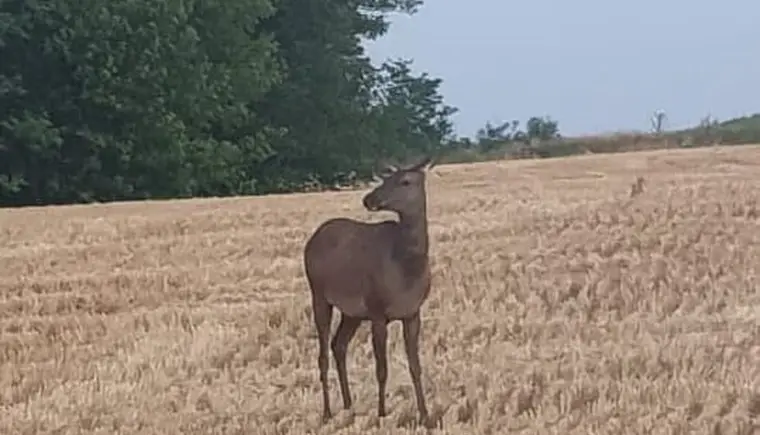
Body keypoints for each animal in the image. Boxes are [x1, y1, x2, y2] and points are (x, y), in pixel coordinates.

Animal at [302, 156, 436, 430]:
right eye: (385, 178)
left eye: (405, 181)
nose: (368, 199)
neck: (407, 270)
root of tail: (312, 240)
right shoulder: (377, 310)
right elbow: (381, 368)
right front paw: (382, 413)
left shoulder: (412, 312)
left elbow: (415, 366)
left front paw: (425, 416)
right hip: (318, 293)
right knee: (322, 353)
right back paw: (327, 413)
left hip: (352, 312)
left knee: (338, 344)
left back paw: (348, 404)